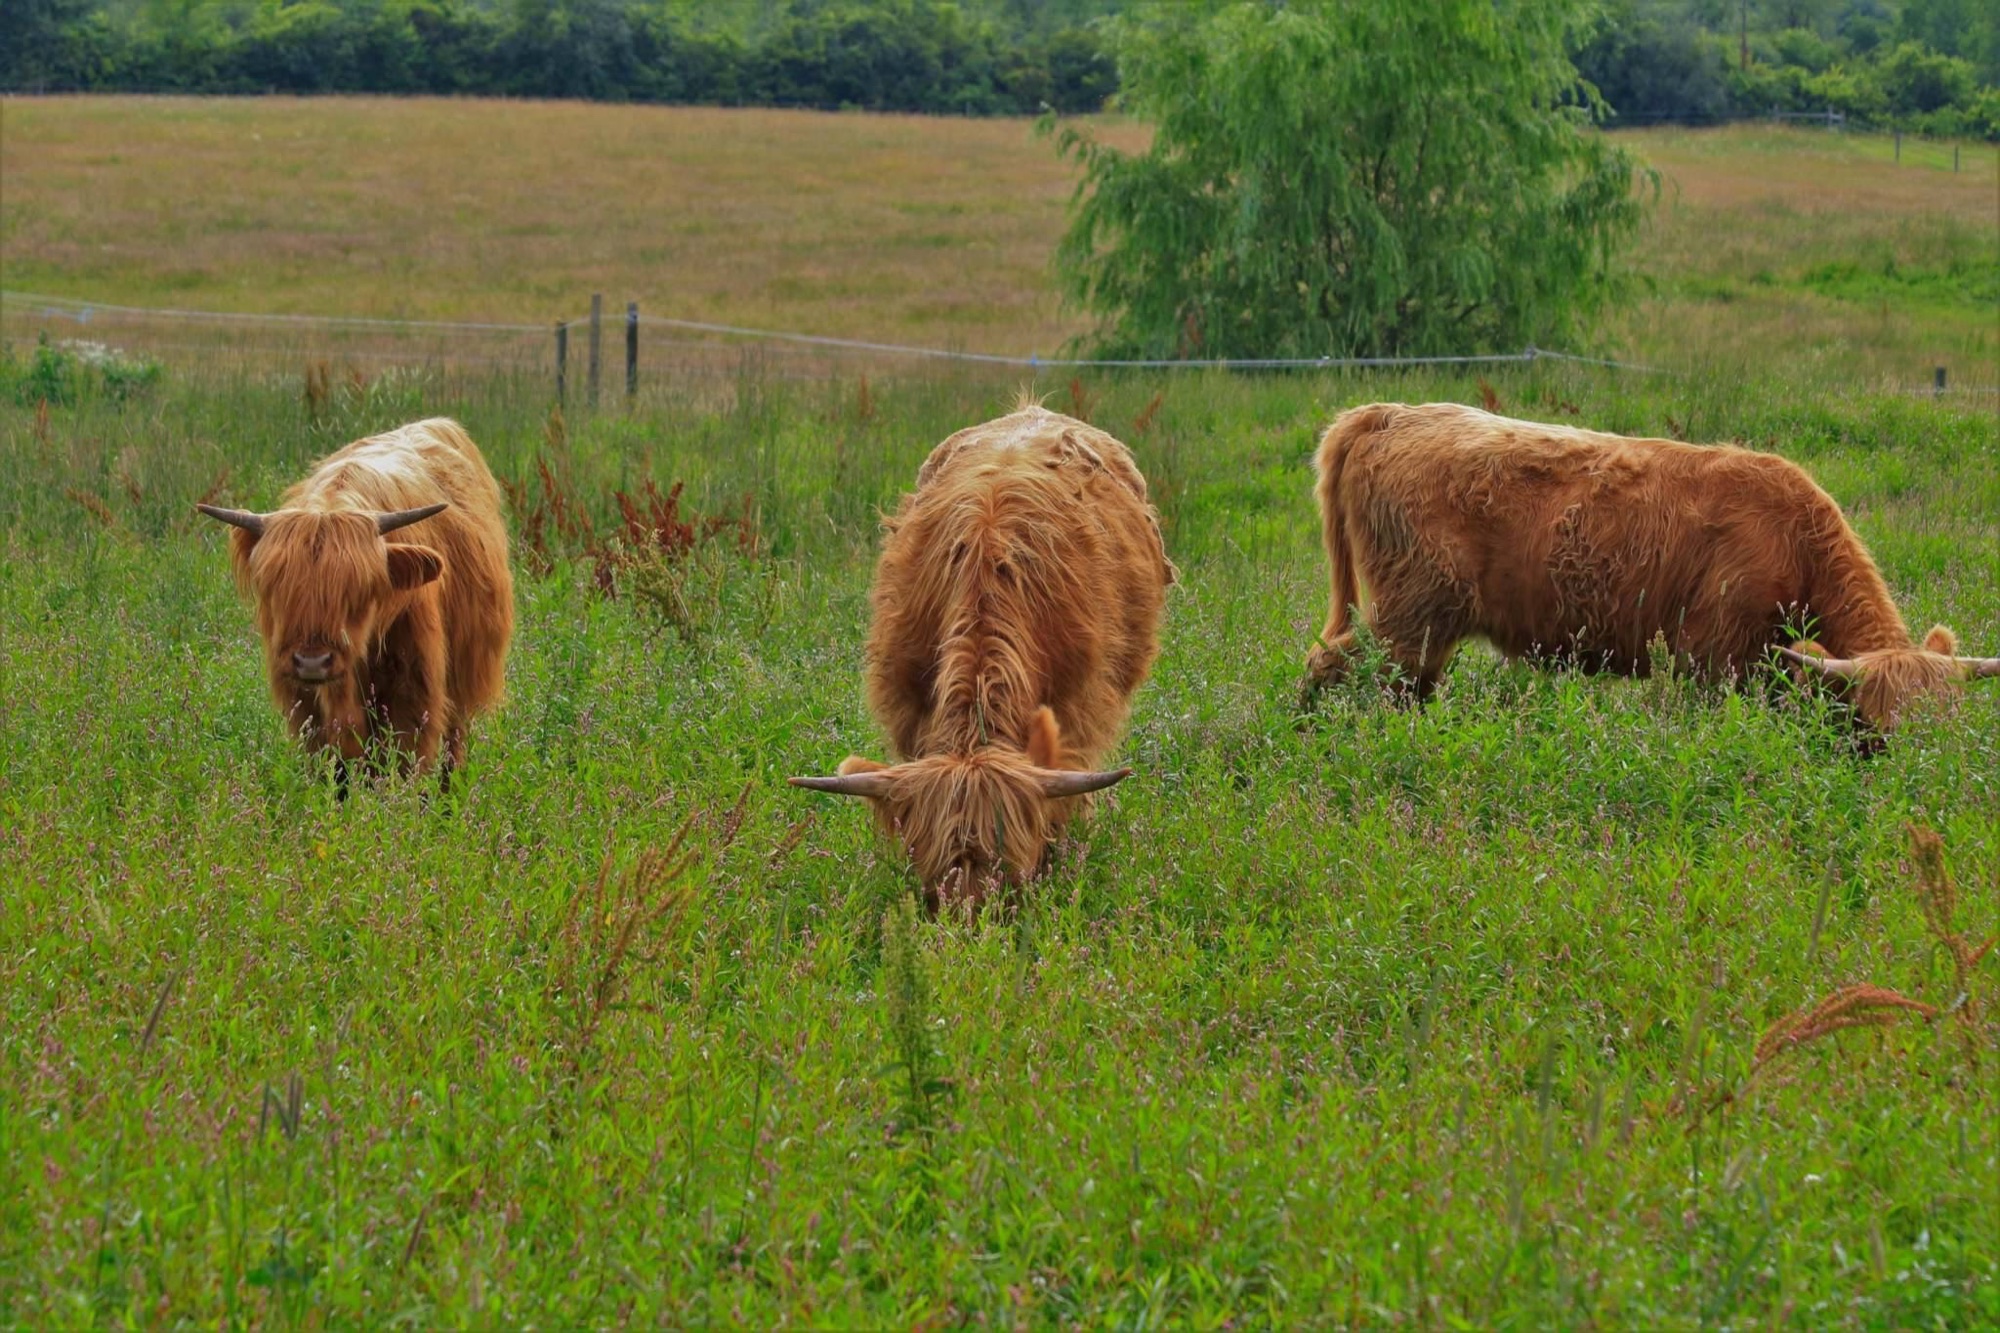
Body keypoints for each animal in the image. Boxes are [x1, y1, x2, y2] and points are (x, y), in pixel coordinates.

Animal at [198, 417, 514, 789]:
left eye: (358, 591)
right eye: (278, 587)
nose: (312, 662)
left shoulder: (413, 691)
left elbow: (404, 763)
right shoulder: (305, 704)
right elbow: (333, 767)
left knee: (454, 744)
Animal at [1301, 402, 1996, 733]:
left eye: (1949, 730)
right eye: (1881, 728)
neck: (1796, 542)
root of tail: (1384, 414)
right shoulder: (1710, 659)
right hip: (1410, 616)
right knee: (1335, 666)